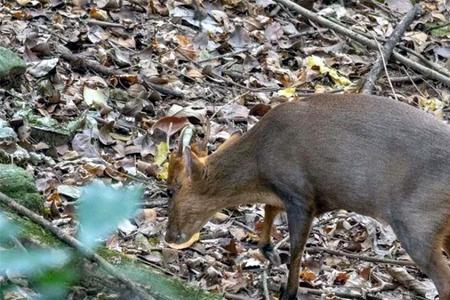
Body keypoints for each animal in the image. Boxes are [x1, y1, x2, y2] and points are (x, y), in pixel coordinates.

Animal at [164, 94, 450, 300]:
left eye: (172, 189)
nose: (168, 236)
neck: (259, 163)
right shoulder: (287, 192)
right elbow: (269, 210)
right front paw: (269, 251)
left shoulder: (301, 195)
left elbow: (296, 249)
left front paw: (288, 293)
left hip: (417, 221)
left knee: (444, 283)